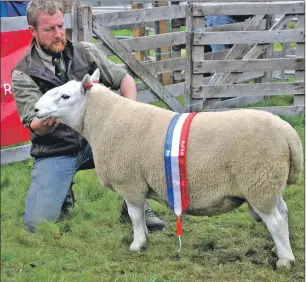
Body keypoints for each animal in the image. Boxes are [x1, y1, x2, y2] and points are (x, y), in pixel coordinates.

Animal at [34, 68, 304, 268]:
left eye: (65, 96)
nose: (35, 109)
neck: (103, 121)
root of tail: (288, 132)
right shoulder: (138, 185)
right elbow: (140, 216)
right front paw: (144, 240)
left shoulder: (130, 183)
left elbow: (134, 216)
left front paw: (136, 245)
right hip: (270, 183)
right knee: (283, 213)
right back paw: (279, 249)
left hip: (259, 181)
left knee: (275, 221)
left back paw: (285, 261)